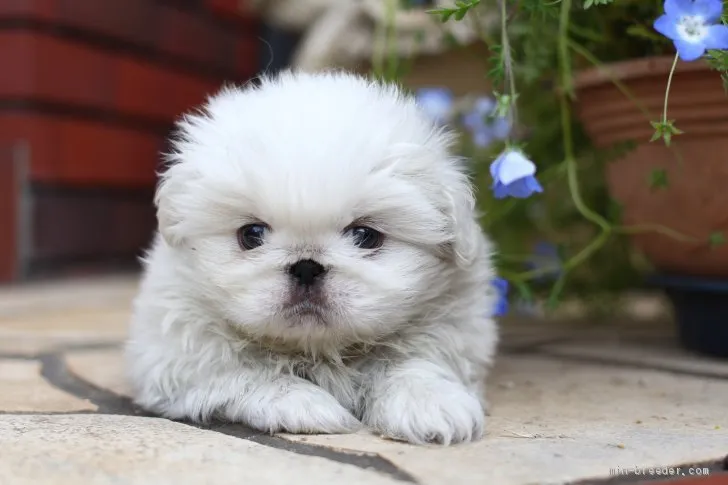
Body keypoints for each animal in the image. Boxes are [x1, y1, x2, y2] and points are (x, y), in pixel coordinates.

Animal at [125, 70, 500, 444]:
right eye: (251, 235)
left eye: (366, 236)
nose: (306, 267)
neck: (319, 349)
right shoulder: (179, 354)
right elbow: (247, 372)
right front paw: (303, 404)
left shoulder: (449, 329)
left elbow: (416, 361)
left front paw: (429, 402)